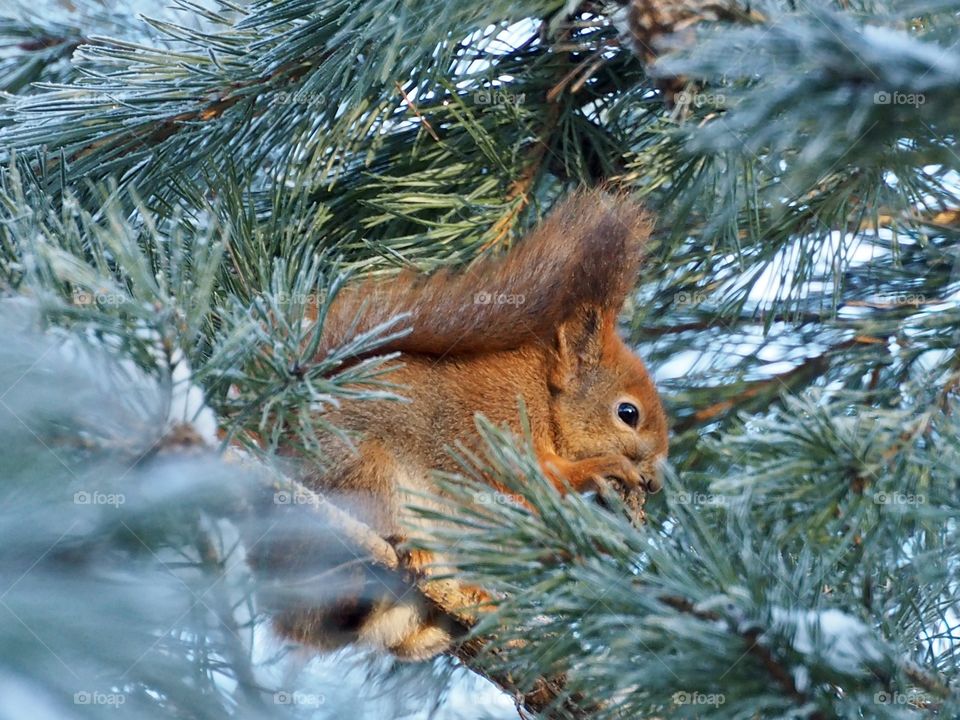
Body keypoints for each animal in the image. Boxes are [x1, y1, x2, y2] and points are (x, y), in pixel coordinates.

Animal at [258, 189, 669, 661]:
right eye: (628, 413)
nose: (656, 482)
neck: (543, 400)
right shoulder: (493, 423)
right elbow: (534, 474)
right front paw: (603, 468)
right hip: (361, 475)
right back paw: (410, 552)